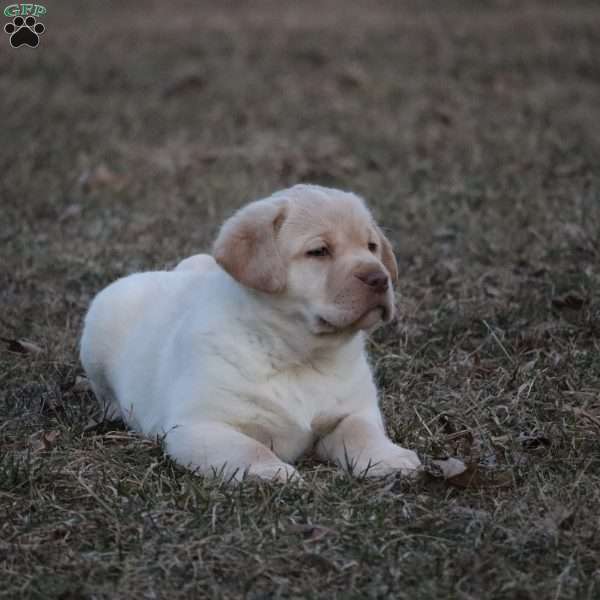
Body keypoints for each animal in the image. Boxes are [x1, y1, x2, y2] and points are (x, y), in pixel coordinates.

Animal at [81, 185, 426, 480]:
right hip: (96, 337)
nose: (380, 278)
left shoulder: (353, 412)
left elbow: (362, 431)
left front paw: (391, 458)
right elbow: (248, 449)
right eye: (319, 251)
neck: (300, 356)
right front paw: (271, 472)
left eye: (371, 247)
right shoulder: (199, 426)